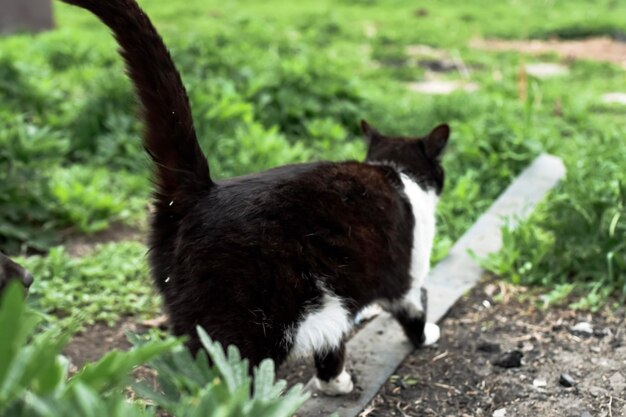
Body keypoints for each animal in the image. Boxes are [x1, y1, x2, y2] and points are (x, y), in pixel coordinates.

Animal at [58, 0, 446, 396]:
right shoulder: (406, 277)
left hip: (193, 312)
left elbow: (332, 343)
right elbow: (413, 311)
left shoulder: (339, 302)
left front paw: (333, 383)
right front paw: (420, 338)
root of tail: (201, 191)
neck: (394, 170)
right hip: (256, 322)